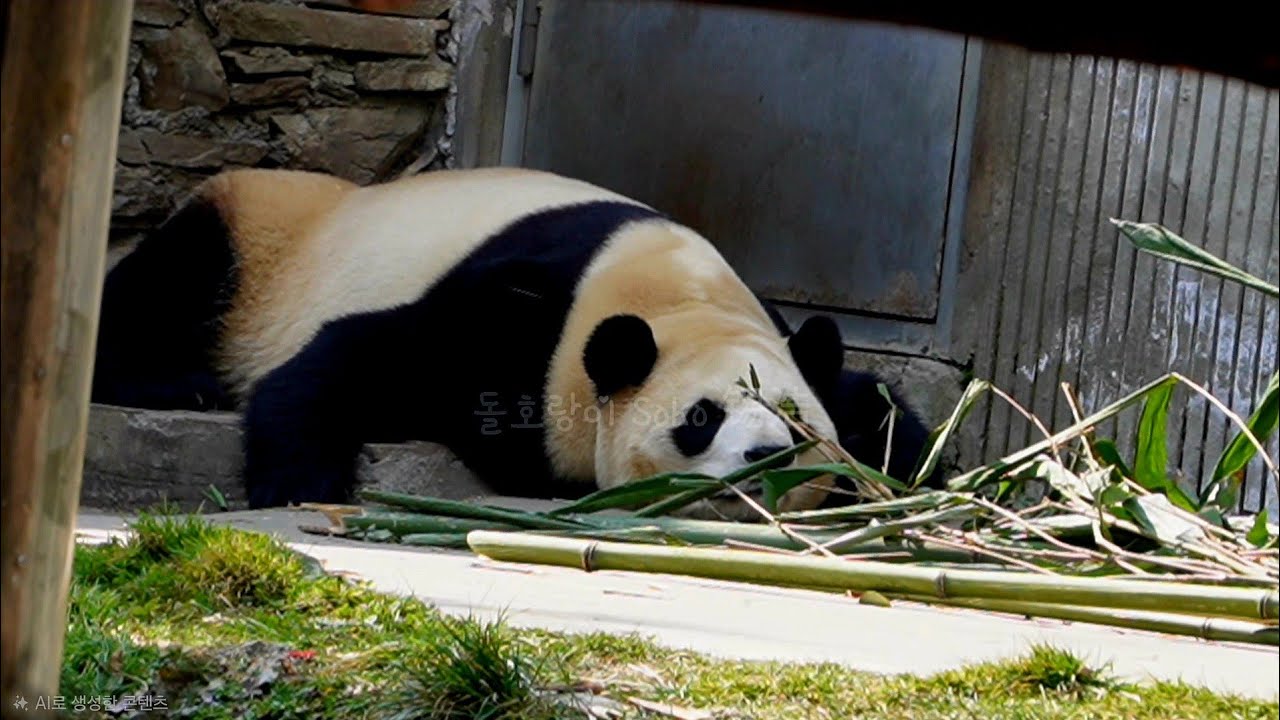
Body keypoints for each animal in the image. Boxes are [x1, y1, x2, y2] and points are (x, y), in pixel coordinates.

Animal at [92, 167, 852, 520]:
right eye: (701, 418)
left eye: (795, 423)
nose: (764, 456)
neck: (679, 293)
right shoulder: (522, 312)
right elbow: (364, 355)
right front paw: (299, 484)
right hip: (251, 241)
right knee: (161, 283)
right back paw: (176, 382)